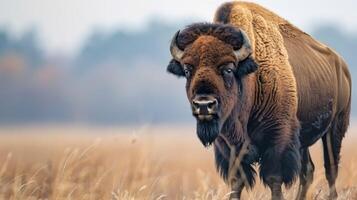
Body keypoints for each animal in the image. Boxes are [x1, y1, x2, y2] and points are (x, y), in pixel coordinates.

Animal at [167, 1, 350, 200]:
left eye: (229, 69)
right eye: (187, 70)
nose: (203, 105)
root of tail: (342, 65)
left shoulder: (278, 139)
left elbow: (274, 180)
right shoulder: (228, 147)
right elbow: (236, 182)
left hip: (335, 128)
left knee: (330, 170)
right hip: (304, 141)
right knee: (307, 171)